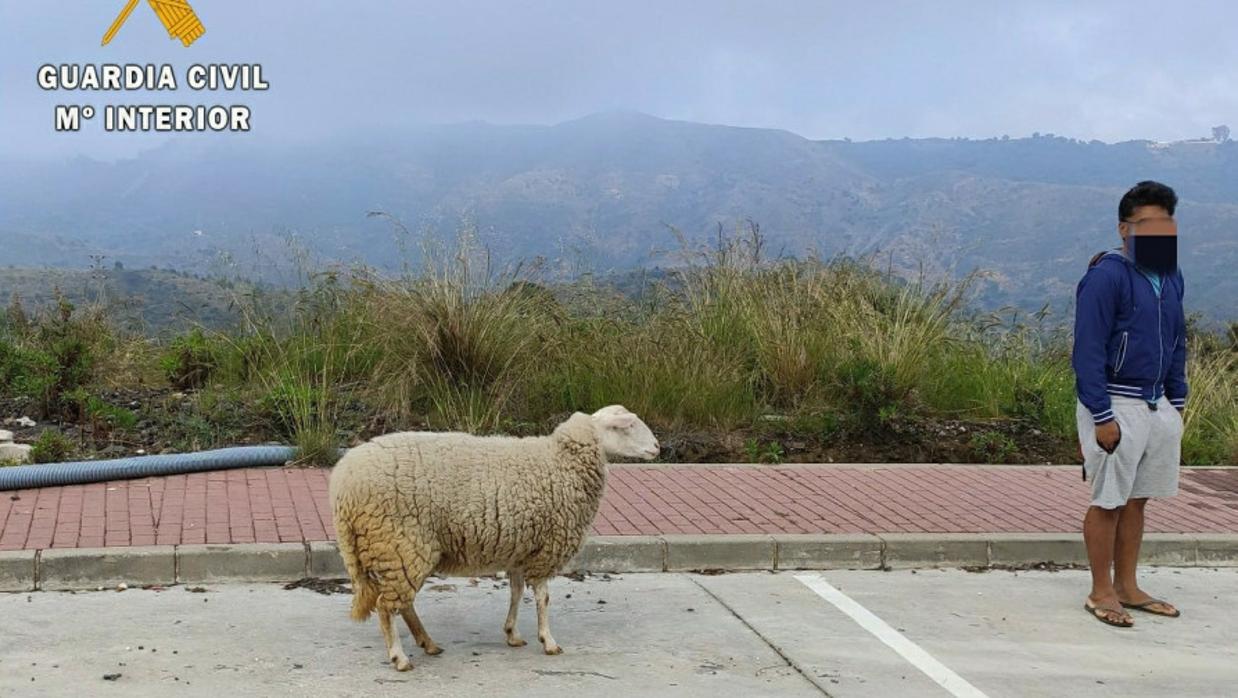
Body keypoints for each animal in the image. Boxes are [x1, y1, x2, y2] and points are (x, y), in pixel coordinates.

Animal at [326, 403, 658, 668]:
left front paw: (513, 634)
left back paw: (427, 643)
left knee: (402, 604)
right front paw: (548, 641)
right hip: (401, 543)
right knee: (386, 606)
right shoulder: (546, 549)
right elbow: (543, 598)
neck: (561, 460)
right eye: (628, 425)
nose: (657, 447)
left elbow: (516, 592)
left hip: (400, 549)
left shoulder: (522, 547)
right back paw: (400, 657)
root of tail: (342, 487)